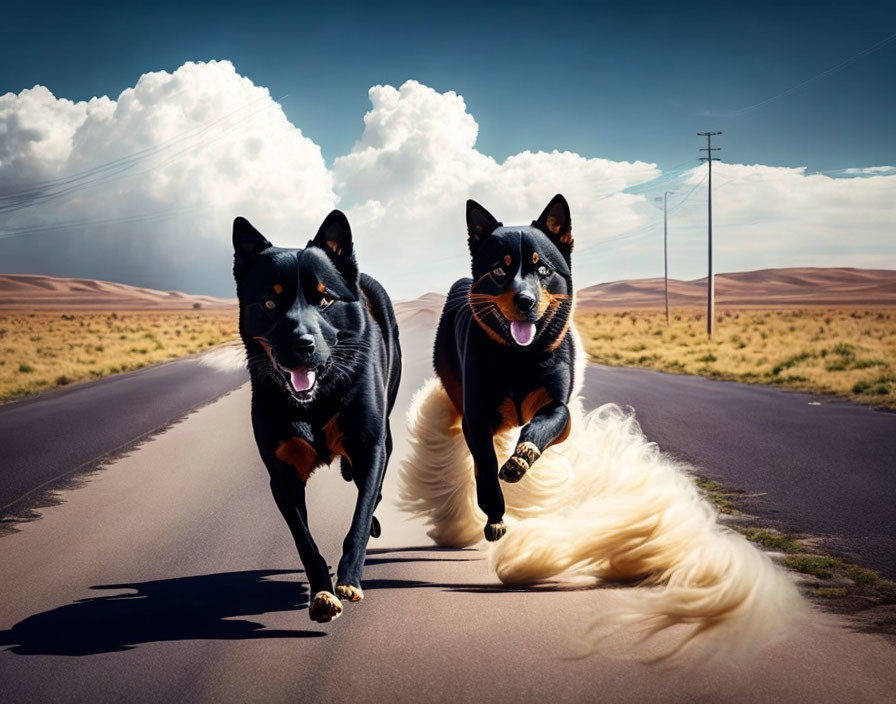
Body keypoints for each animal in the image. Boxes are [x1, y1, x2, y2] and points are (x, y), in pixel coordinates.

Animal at [233, 210, 400, 620]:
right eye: (270, 303)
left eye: (324, 299)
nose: (302, 345)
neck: (316, 401)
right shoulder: (283, 473)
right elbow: (304, 541)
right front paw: (322, 593)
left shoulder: (369, 449)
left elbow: (358, 521)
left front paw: (349, 580)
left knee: (373, 492)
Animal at [432, 195, 576, 540]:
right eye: (500, 270)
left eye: (543, 269)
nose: (525, 301)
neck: (519, 358)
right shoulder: (476, 416)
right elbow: (485, 467)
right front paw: (494, 515)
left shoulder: (560, 408)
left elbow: (547, 422)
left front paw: (521, 458)